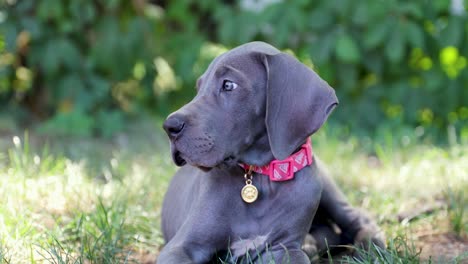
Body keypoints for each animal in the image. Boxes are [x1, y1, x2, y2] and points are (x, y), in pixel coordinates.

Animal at [159, 42, 386, 262]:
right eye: (198, 88)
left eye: (228, 85)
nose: (169, 126)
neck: (260, 177)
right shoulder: (182, 247)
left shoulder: (283, 248)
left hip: (326, 187)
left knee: (355, 219)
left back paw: (371, 246)